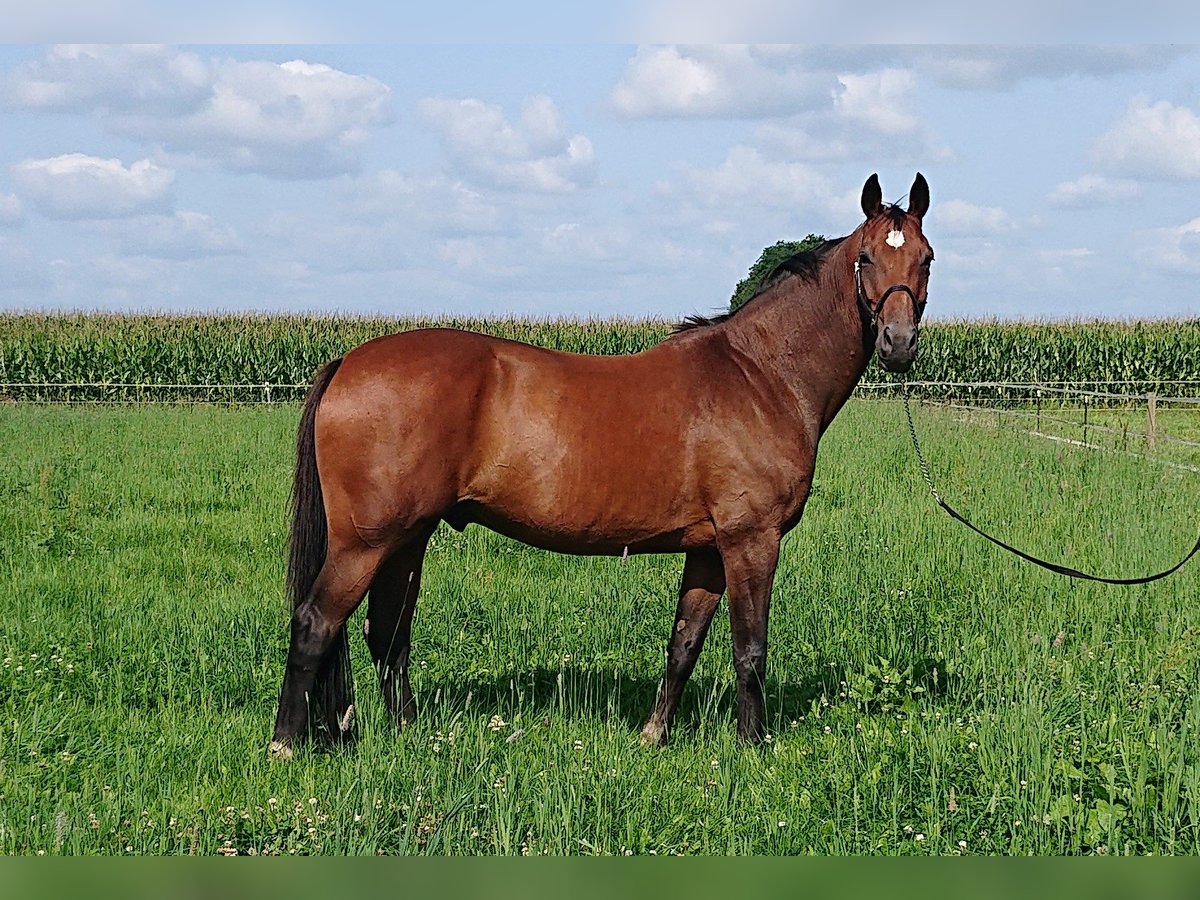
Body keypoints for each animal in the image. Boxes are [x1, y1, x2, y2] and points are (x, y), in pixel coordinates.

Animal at [267, 172, 931, 758]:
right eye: (866, 258)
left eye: (925, 258)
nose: (898, 344)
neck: (761, 374)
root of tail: (347, 362)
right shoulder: (751, 540)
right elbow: (750, 649)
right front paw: (753, 747)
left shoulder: (708, 549)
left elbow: (684, 644)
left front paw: (654, 736)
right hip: (364, 543)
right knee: (316, 623)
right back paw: (286, 746)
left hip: (407, 538)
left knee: (387, 635)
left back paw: (411, 736)